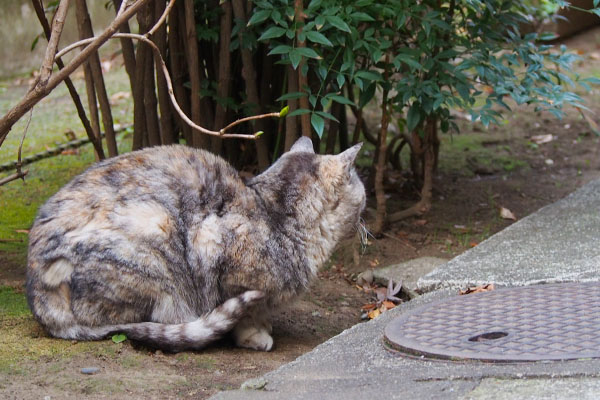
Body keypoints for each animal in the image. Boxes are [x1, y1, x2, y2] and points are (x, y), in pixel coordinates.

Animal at [25, 138, 366, 354]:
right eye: (361, 191)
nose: (367, 212)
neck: (274, 212)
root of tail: (39, 300)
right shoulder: (215, 246)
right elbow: (246, 309)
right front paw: (254, 335)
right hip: (155, 231)